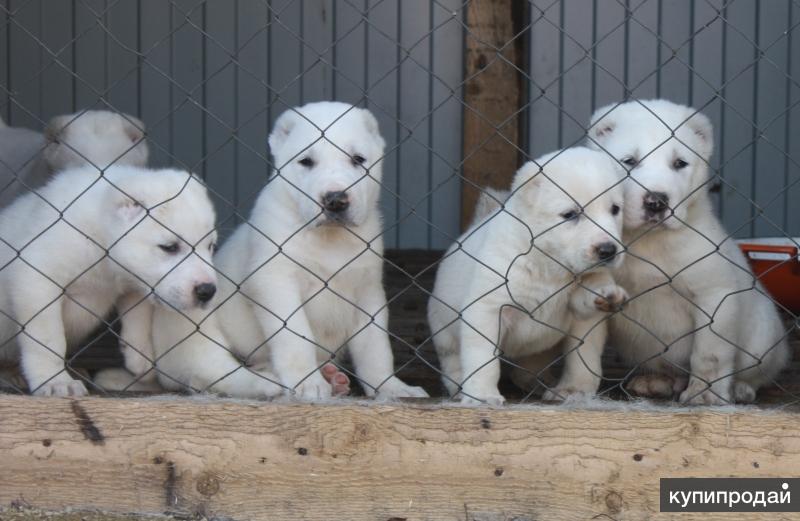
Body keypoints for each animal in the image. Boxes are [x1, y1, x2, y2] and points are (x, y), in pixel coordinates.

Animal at [0, 164, 217, 394]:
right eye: (169, 247)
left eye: (211, 246)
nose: (207, 291)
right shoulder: (37, 280)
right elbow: (48, 339)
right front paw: (55, 380)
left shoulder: (135, 283)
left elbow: (138, 315)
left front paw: (140, 355)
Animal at [428, 148, 628, 404]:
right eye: (570, 214)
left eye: (615, 209)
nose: (608, 250)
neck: (550, 266)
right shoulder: (487, 308)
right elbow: (482, 357)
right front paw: (482, 395)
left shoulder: (582, 315)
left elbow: (583, 354)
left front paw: (574, 390)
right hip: (443, 329)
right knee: (452, 359)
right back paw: (457, 387)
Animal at [584, 99, 792, 404]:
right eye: (629, 161)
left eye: (679, 164)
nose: (656, 202)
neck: (648, 241)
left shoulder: (714, 295)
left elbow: (709, 353)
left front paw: (705, 394)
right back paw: (656, 380)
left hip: (763, 337)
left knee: (757, 373)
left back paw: (741, 388)